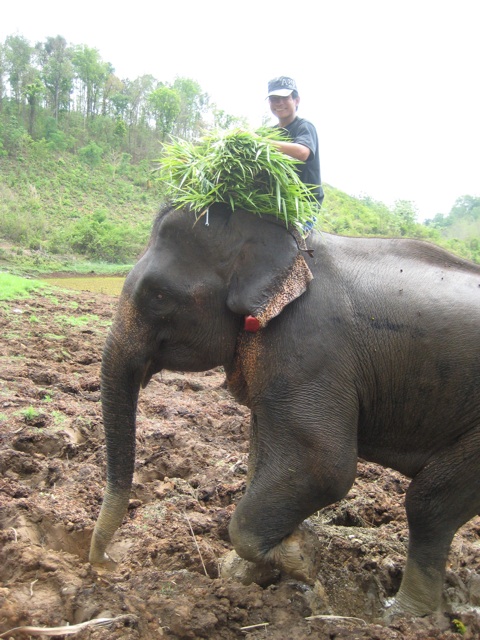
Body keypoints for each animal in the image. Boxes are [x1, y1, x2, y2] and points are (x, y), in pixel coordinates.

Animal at [89, 202, 480, 616]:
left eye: (159, 295)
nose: (105, 565)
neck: (282, 243)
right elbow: (262, 458)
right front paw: (245, 573)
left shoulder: (309, 348)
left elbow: (324, 466)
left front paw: (304, 559)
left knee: (429, 503)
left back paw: (400, 615)